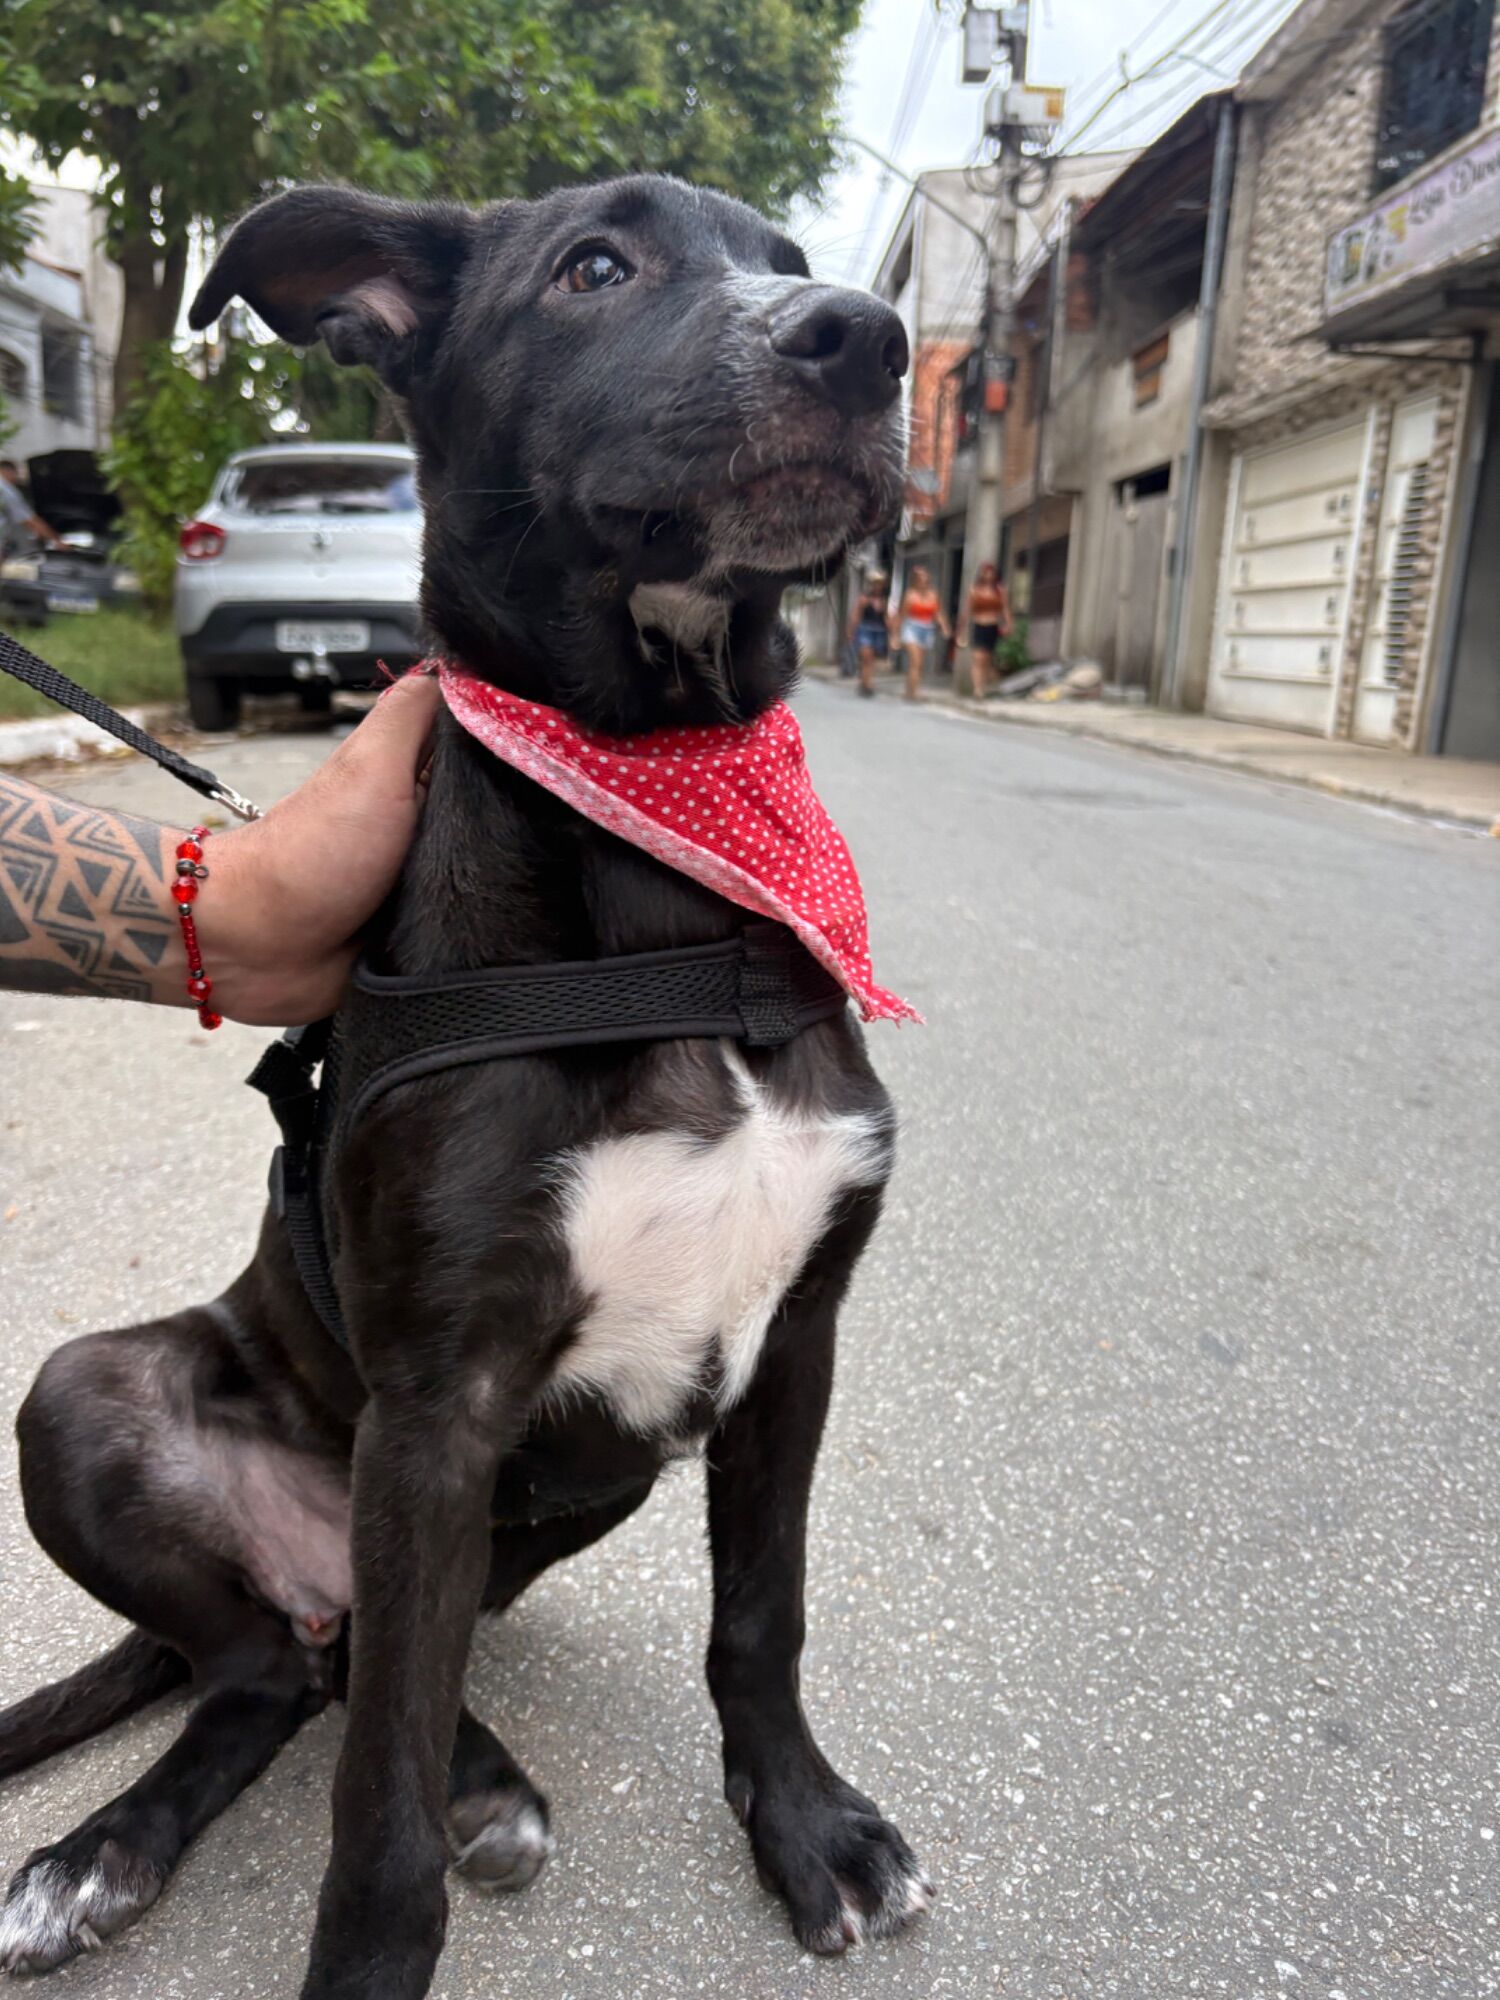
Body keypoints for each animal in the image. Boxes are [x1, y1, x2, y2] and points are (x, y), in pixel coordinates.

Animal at [0, 176, 928, 1998]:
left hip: (593, 1466)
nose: (865, 337)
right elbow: (379, 1813)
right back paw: (103, 1855)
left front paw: (804, 1827)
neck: (664, 820)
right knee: (314, 1672)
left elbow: (762, 1619)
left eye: (789, 264)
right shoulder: (439, 1404)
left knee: (322, 1663)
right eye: (593, 269)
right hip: (91, 1398)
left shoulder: (793, 1340)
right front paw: (370, 1960)